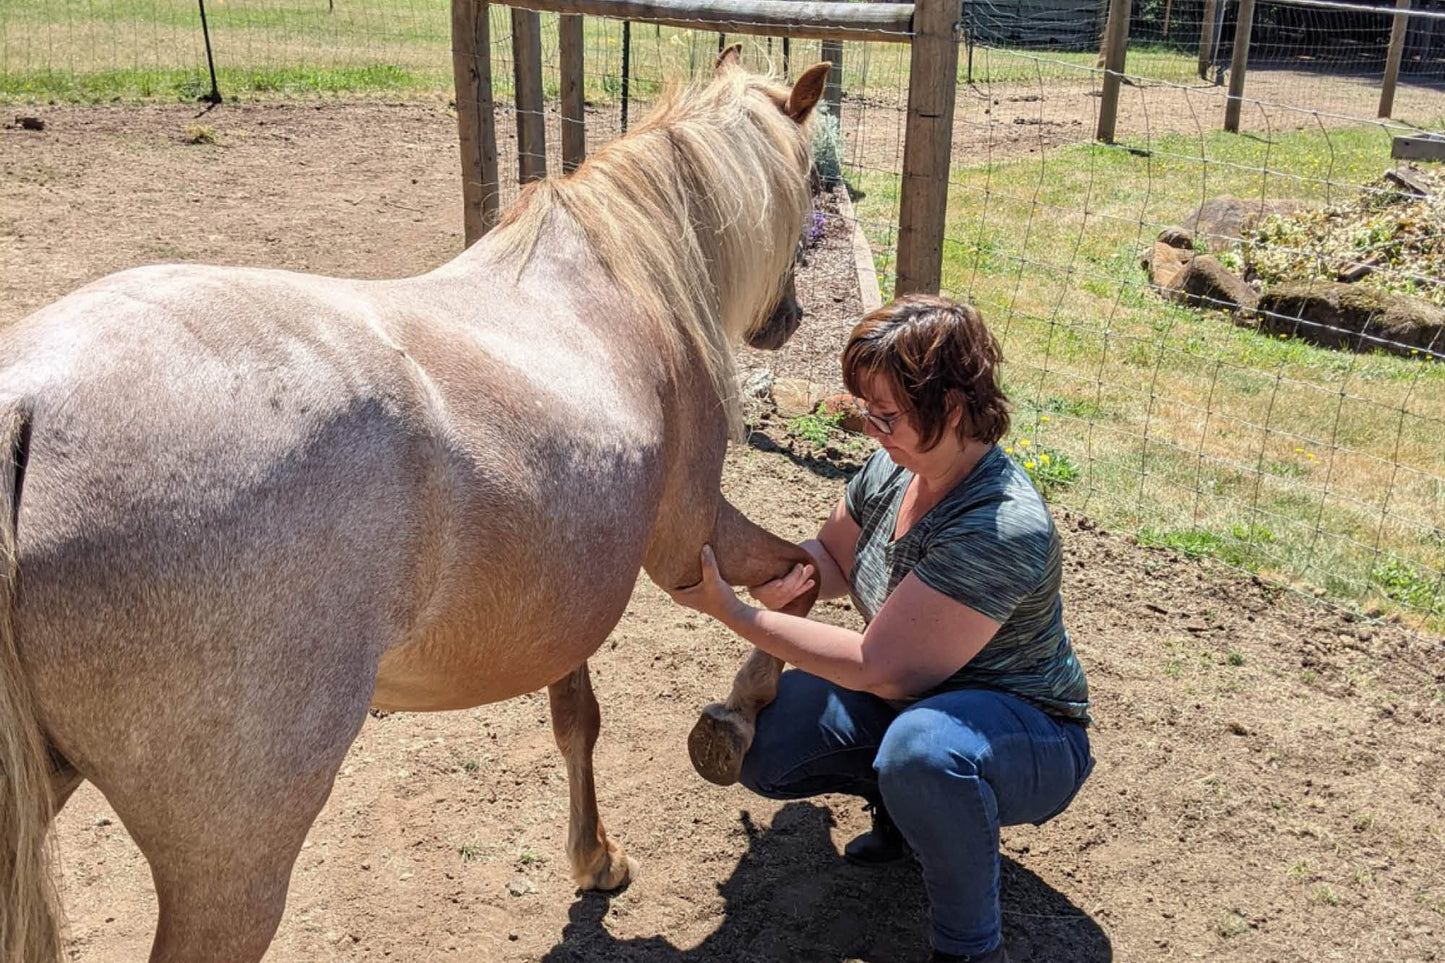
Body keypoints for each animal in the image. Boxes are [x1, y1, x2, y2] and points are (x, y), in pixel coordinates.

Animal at [0, 50, 826, 960]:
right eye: (813, 184)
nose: (788, 318)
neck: (615, 279)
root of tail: (28, 402)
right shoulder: (687, 548)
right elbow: (800, 580)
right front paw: (733, 720)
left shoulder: (564, 594)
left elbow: (578, 716)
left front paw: (594, 856)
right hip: (230, 870)